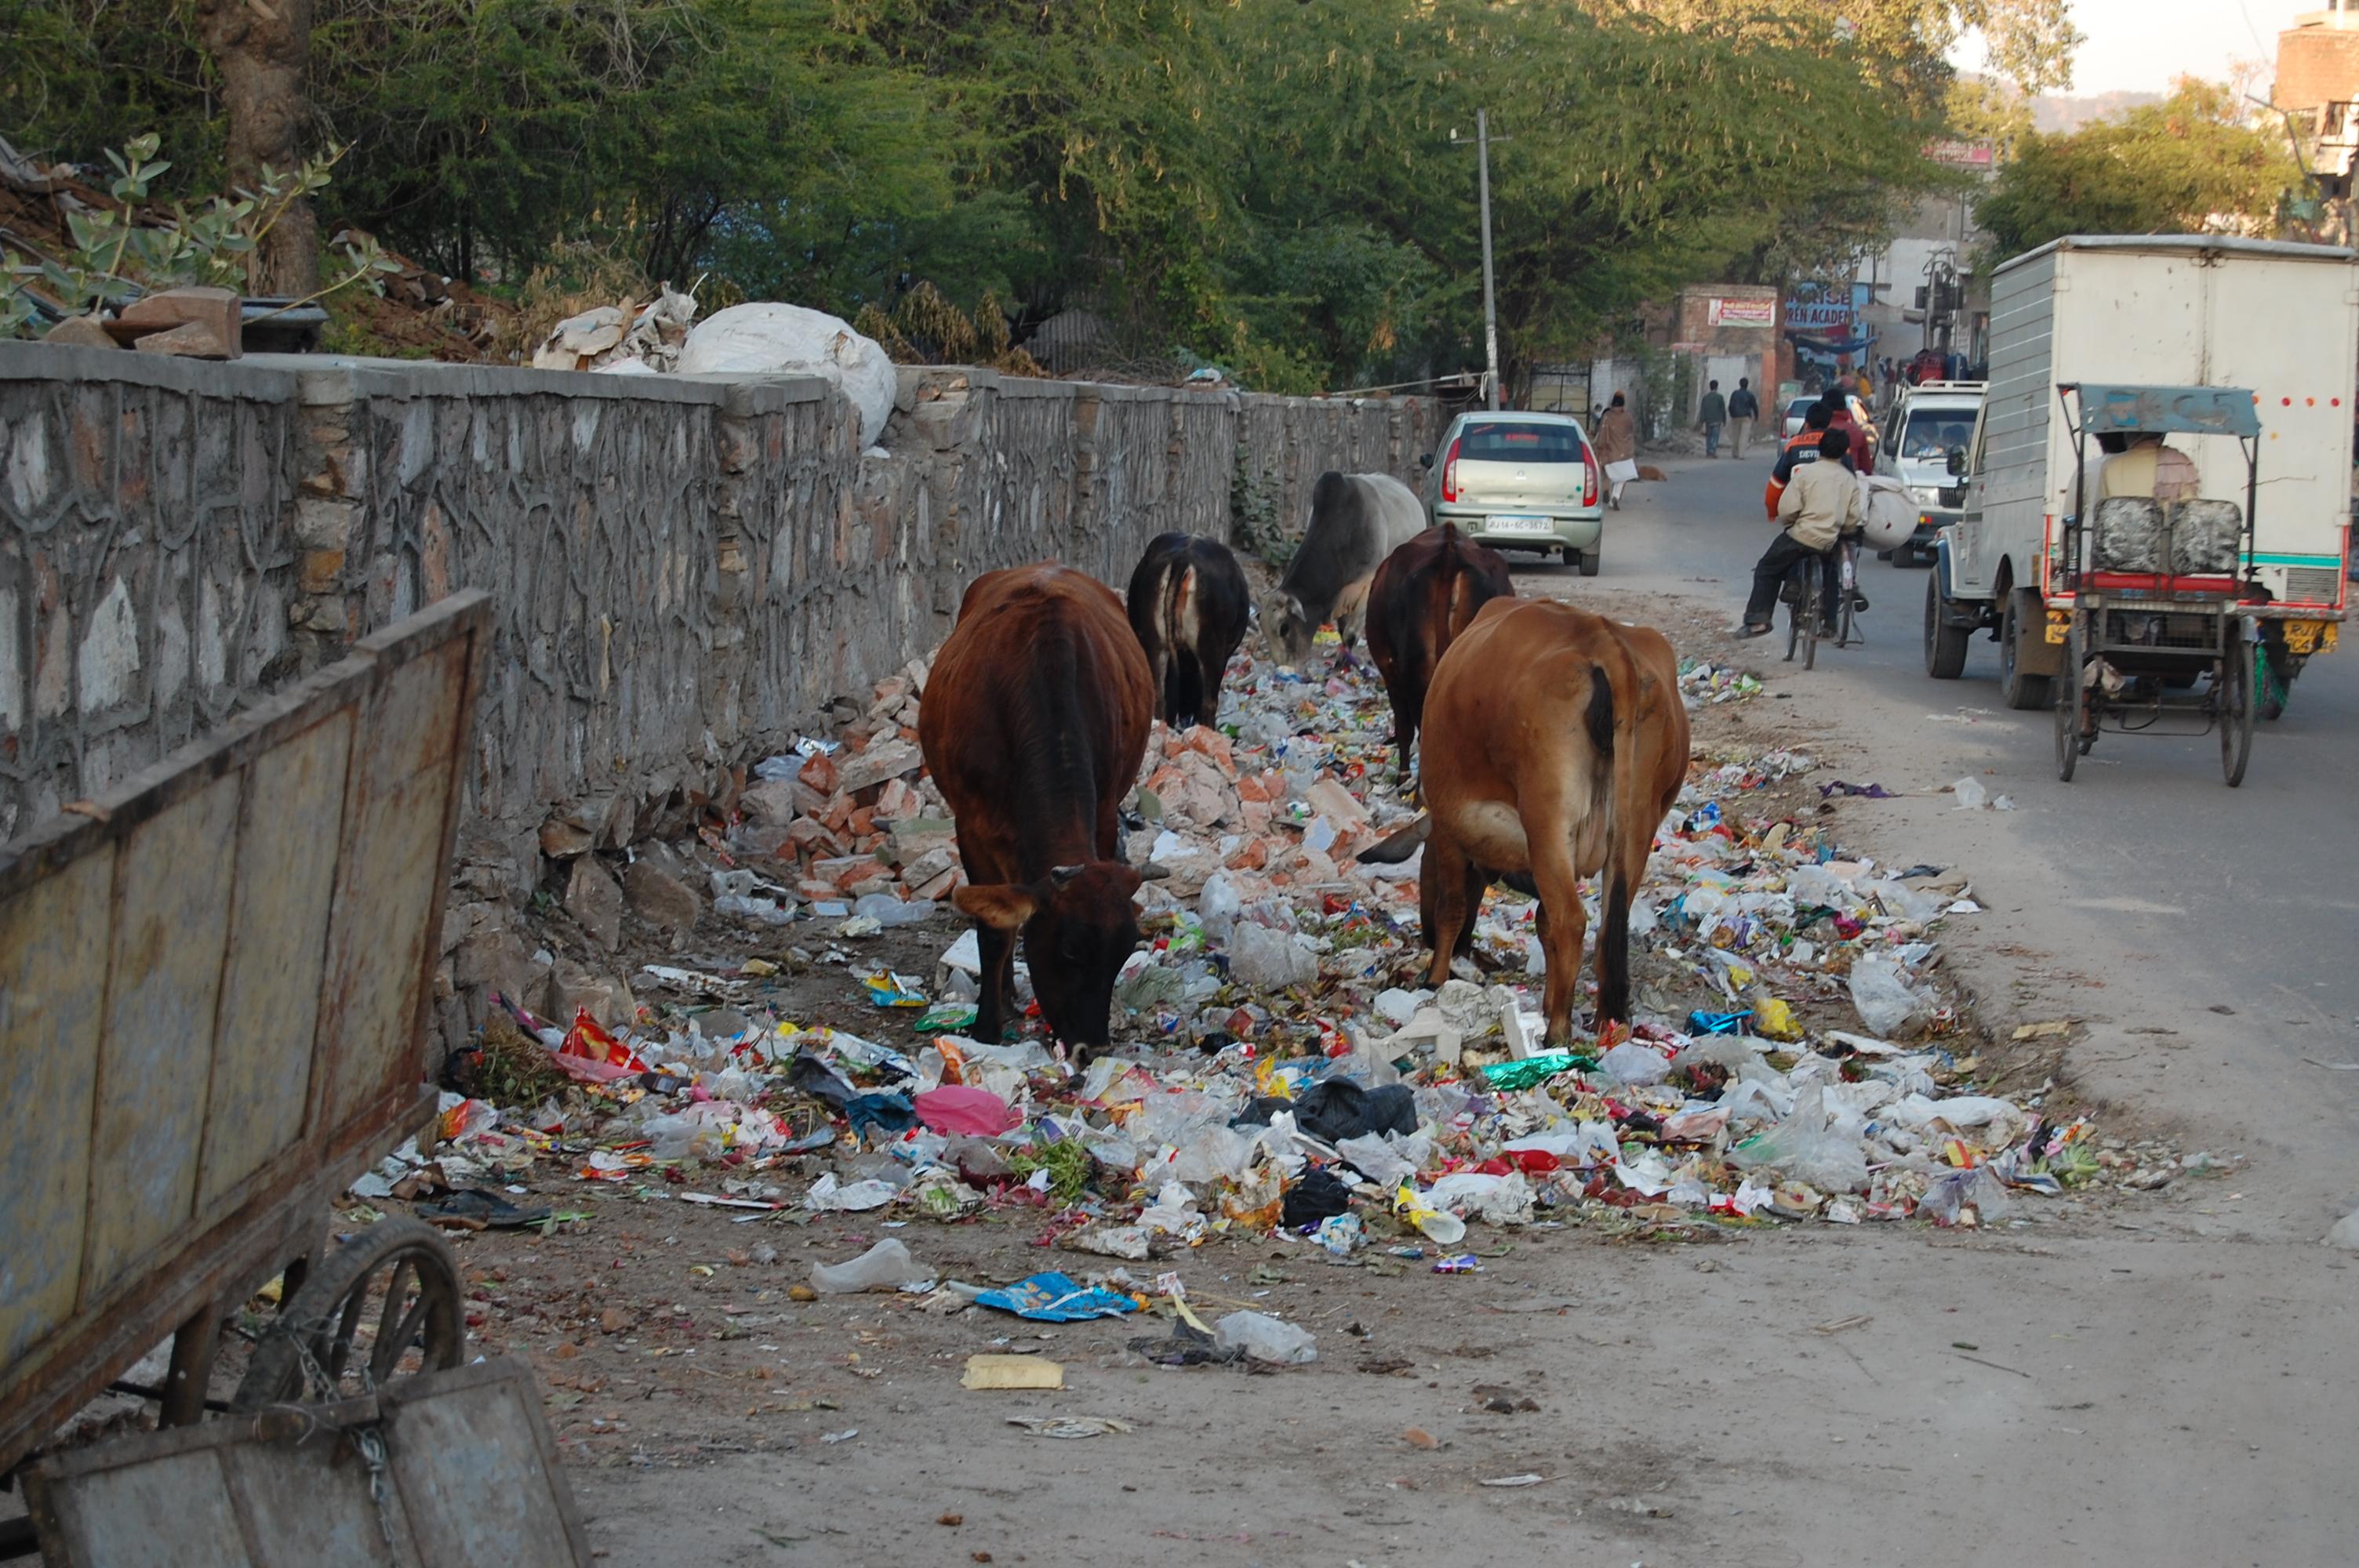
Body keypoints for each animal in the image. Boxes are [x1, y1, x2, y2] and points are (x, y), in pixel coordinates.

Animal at [915, 563, 1155, 1065]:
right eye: (1069, 952)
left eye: (1124, 954)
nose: (1091, 1048)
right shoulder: (972, 826)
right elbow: (994, 929)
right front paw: (987, 1026)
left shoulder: (1105, 813)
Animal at [1122, 525, 1255, 721]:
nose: (1186, 712)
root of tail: (1182, 559)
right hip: (1210, 650)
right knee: (1209, 703)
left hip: (1154, 645)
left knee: (1159, 697)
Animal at [1358, 593, 1688, 1047]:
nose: (1426, 936)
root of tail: (1605, 642)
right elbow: (1543, 924)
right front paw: (1548, 1000)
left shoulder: (1447, 830)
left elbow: (1452, 907)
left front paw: (1436, 978)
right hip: (1636, 826)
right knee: (1608, 928)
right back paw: (1607, 1023)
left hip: (1548, 819)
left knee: (1572, 921)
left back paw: (1558, 1031)